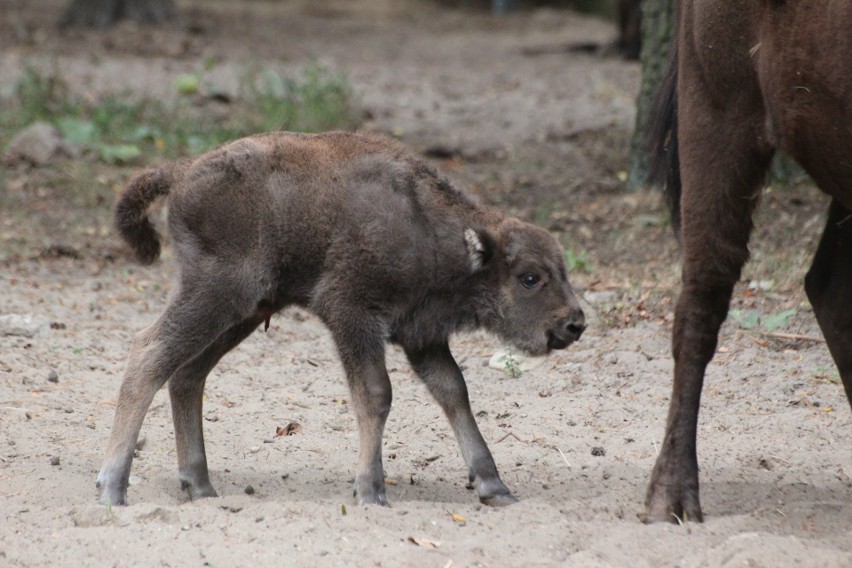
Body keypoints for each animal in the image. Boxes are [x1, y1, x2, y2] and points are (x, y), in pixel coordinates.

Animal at [95, 132, 584, 506]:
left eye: (562, 269)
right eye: (529, 277)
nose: (574, 323)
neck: (430, 229)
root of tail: (183, 171)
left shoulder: (422, 338)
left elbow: (454, 393)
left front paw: (495, 486)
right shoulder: (351, 314)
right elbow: (376, 395)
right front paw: (370, 491)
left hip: (242, 313)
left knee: (187, 375)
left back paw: (200, 485)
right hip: (217, 295)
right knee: (149, 355)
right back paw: (112, 487)